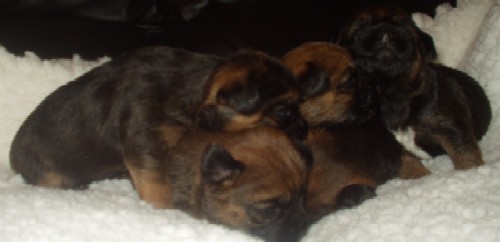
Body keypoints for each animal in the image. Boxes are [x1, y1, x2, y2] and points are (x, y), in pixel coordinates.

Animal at [9, 46, 306, 209]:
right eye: (283, 111)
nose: (305, 130)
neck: (195, 91)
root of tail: (13, 156)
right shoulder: (146, 144)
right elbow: (157, 185)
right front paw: (165, 209)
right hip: (46, 172)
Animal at [336, 6, 492, 171]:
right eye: (359, 28)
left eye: (405, 28)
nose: (385, 33)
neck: (390, 93)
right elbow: (407, 161)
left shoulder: (453, 126)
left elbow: (466, 157)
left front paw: (472, 172)